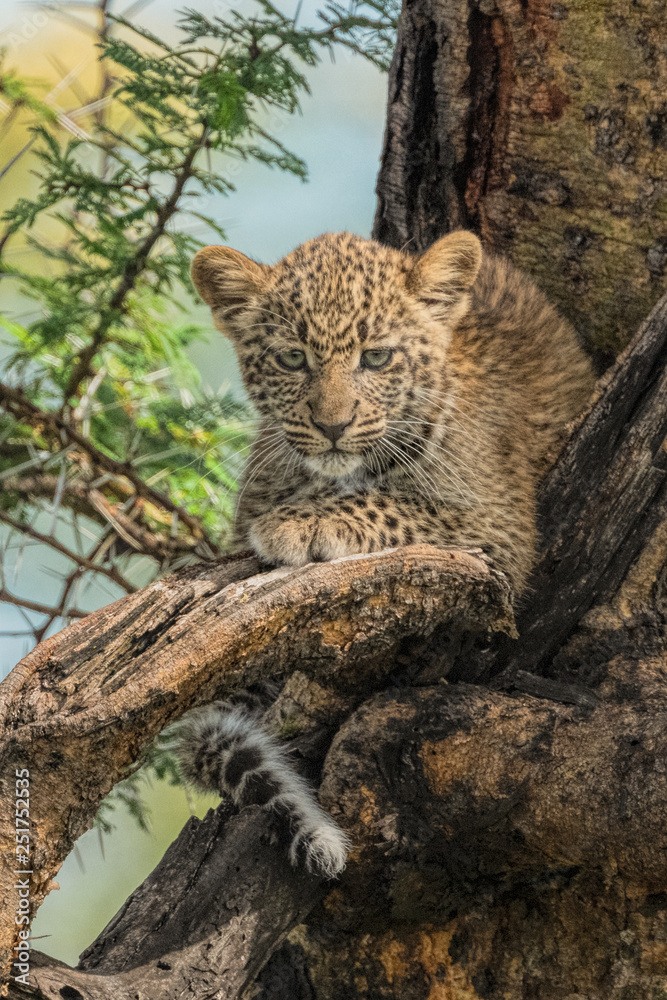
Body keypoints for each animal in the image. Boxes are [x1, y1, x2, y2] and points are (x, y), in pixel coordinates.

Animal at [174, 230, 595, 878]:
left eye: (376, 358)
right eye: (292, 359)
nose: (332, 426)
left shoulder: (495, 521)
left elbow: (395, 505)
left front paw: (304, 522)